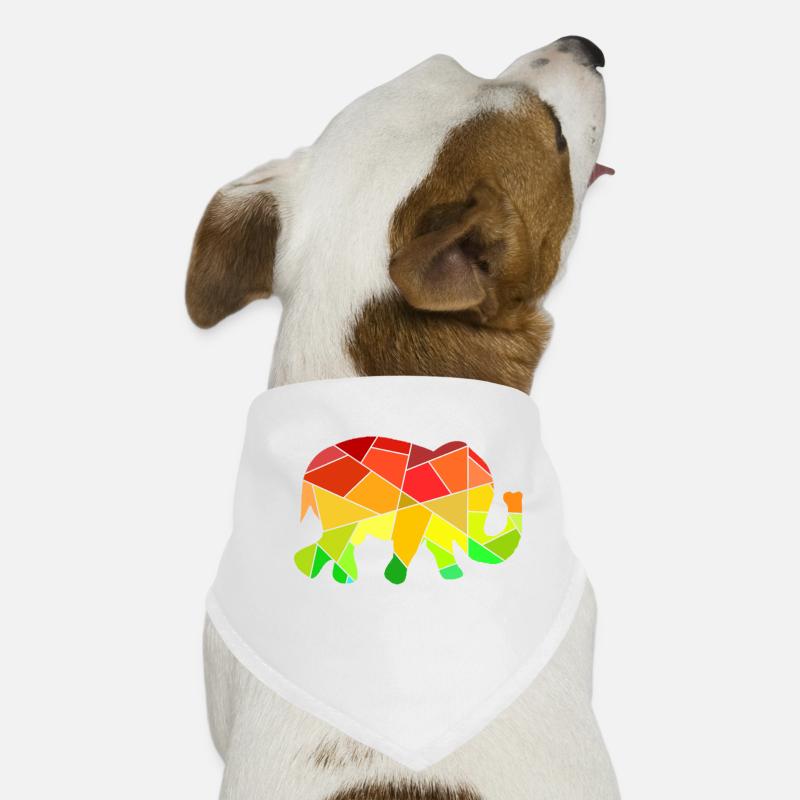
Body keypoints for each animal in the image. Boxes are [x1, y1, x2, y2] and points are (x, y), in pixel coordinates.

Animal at [293, 436, 522, 584]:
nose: (513, 496)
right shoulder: (416, 503)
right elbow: (408, 538)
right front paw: (394, 578)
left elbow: (438, 540)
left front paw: (453, 574)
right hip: (337, 502)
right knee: (336, 539)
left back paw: (343, 578)